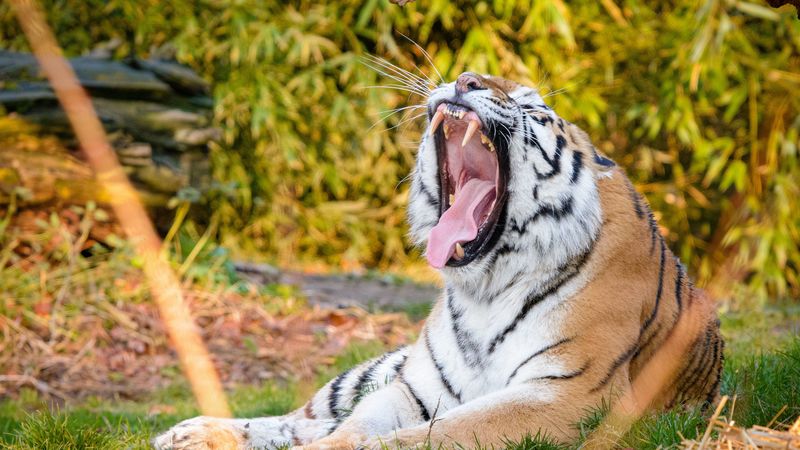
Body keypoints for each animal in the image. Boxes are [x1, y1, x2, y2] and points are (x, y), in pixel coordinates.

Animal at [154, 71, 723, 450]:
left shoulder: (569, 394)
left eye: (530, 105)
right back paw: (188, 432)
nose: (466, 78)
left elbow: (431, 434)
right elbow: (356, 428)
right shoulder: (417, 386)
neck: (487, 287)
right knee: (305, 417)